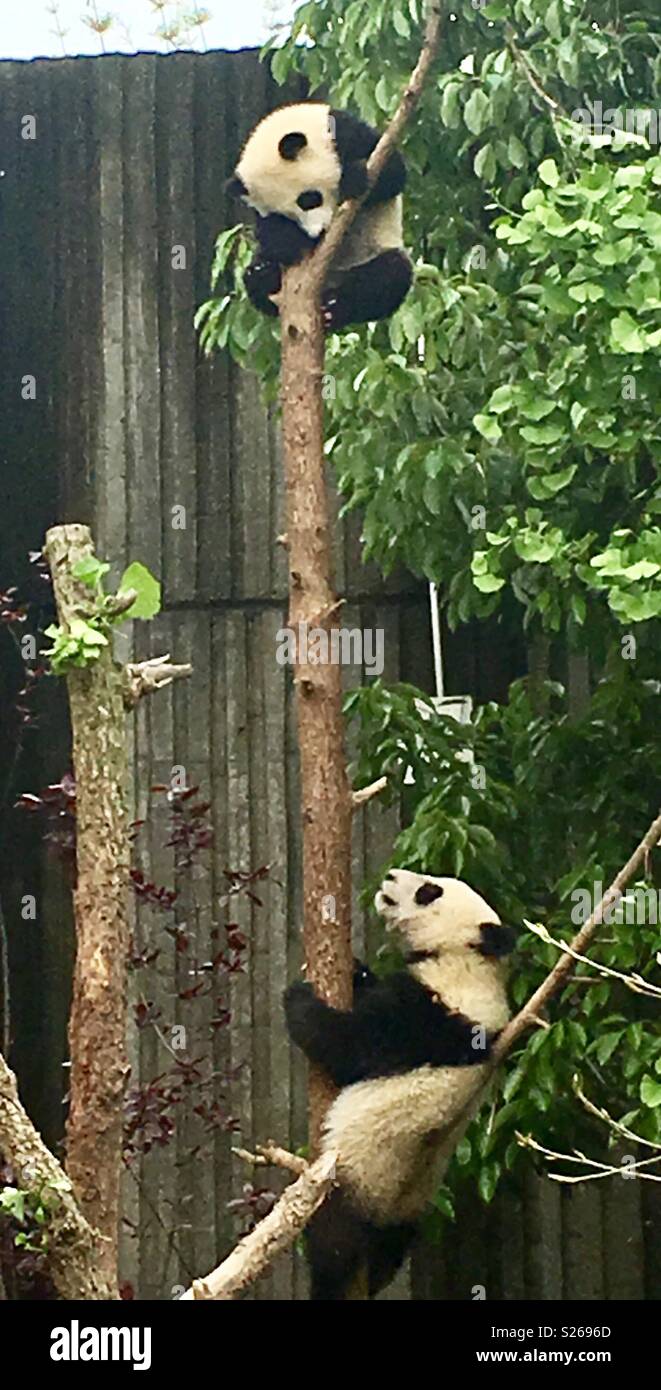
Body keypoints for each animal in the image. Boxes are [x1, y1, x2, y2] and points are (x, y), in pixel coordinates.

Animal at [226, 102, 413, 331]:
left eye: (308, 199)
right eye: (285, 216)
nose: (319, 232)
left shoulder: (345, 134)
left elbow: (393, 171)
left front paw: (353, 178)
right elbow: (268, 234)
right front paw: (283, 237)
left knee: (387, 278)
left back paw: (336, 308)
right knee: (254, 280)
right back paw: (263, 275)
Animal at [284, 868, 515, 1300]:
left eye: (429, 891)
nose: (391, 875)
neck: (465, 959)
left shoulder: (431, 1017)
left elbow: (350, 1045)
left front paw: (299, 999)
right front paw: (356, 970)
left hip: (354, 1178)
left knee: (332, 1243)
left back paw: (325, 1278)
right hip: (405, 1211)